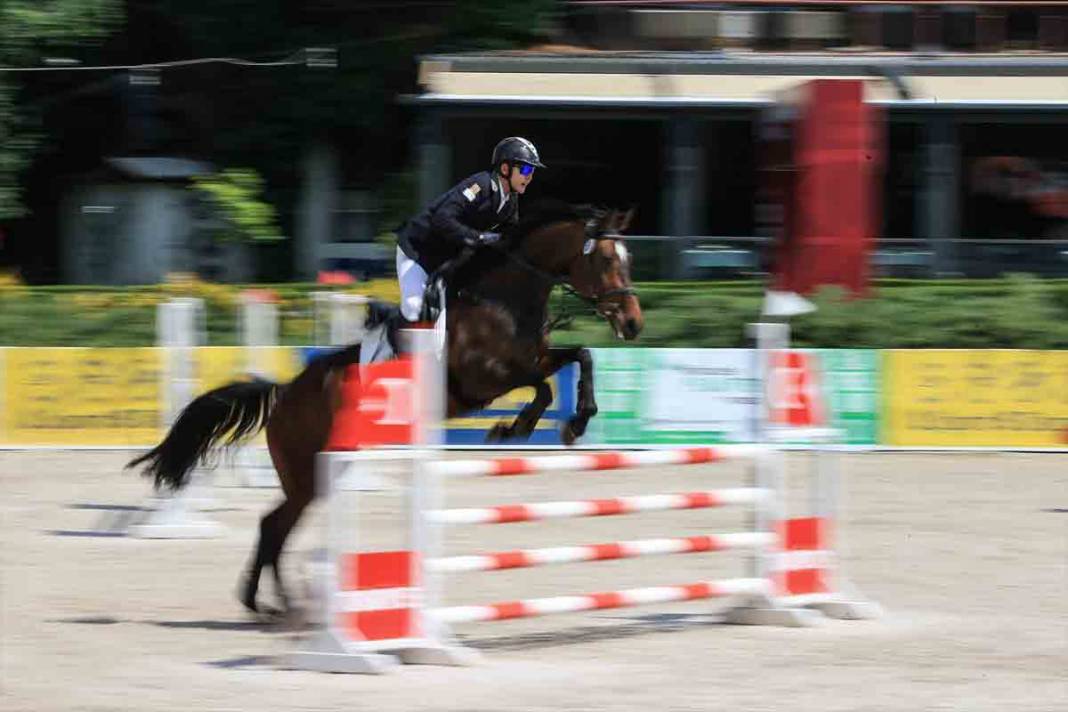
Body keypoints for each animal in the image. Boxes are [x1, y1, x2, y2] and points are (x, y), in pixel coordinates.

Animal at [124, 201, 640, 619]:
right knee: (276, 525)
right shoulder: (485, 379)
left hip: (324, 468)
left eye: (627, 260)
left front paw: (575, 421)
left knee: (275, 526)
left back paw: (269, 605)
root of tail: (286, 392)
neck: (503, 299)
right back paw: (278, 607)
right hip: (309, 471)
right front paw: (515, 427)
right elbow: (541, 389)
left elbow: (579, 358)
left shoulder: (534, 357)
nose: (633, 324)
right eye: (605, 259)